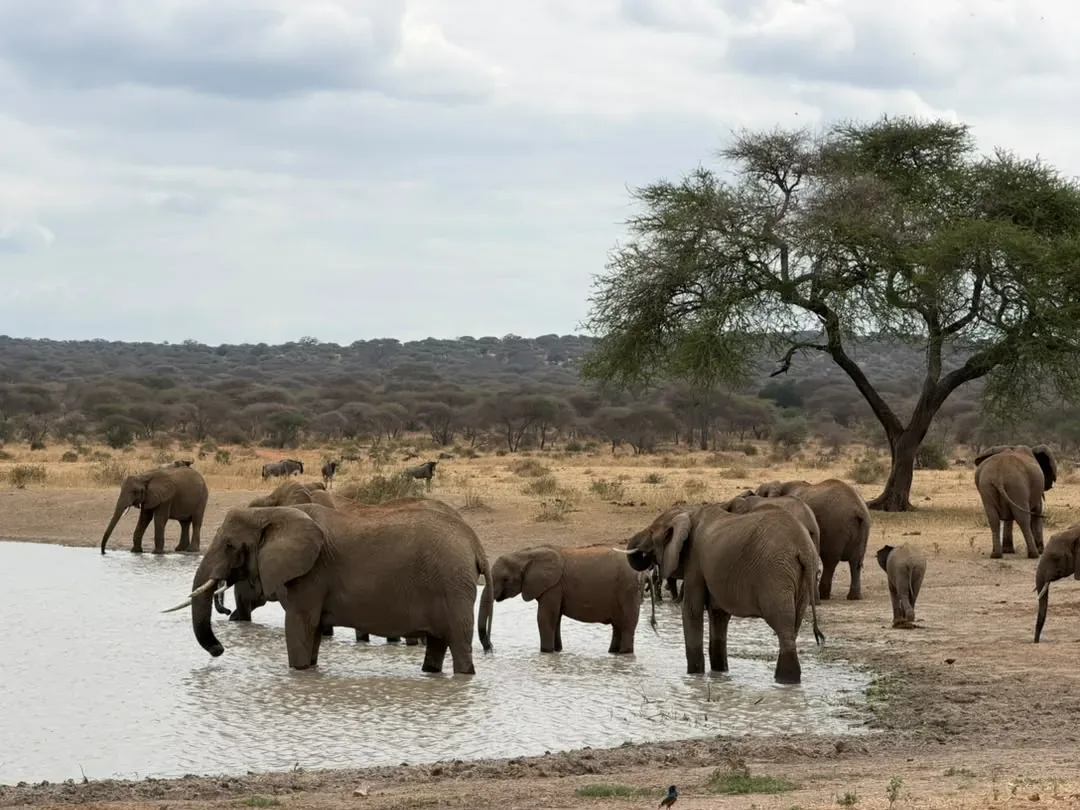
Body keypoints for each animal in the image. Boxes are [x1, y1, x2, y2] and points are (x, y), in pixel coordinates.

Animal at [165, 500, 495, 674]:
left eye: (230, 546)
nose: (219, 649)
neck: (272, 513)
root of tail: (476, 544)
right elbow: (310, 635)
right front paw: (309, 673)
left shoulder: (311, 575)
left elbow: (299, 626)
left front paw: (297, 674)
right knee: (437, 646)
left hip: (453, 585)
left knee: (459, 645)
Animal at [491, 544, 643, 654]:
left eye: (505, 579)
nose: (490, 647)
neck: (526, 554)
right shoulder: (554, 587)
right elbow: (555, 619)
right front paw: (557, 651)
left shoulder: (554, 586)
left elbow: (544, 618)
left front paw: (546, 652)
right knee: (618, 626)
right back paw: (613, 653)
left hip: (628, 590)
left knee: (627, 624)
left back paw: (625, 653)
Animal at [616, 502, 824, 684]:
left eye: (652, 531)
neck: (688, 513)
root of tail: (803, 548)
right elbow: (718, 614)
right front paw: (719, 673)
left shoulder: (695, 560)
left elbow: (692, 610)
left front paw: (694, 675)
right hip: (800, 577)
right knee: (794, 623)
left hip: (776, 574)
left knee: (783, 625)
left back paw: (785, 680)